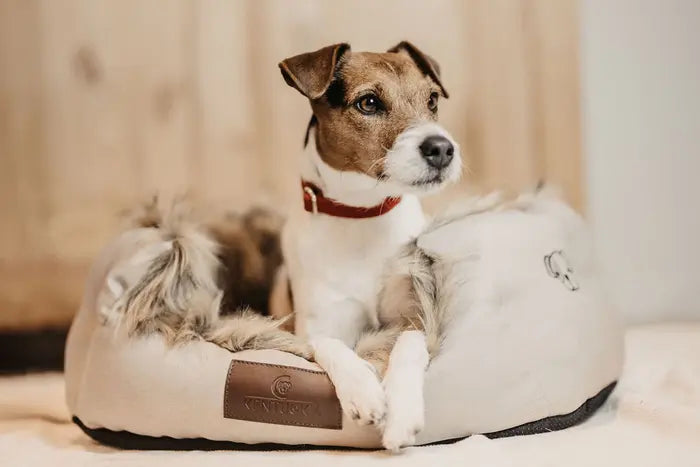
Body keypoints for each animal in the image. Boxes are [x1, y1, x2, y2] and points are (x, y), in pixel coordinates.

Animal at [278, 42, 464, 452]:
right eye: (368, 102)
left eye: (432, 100)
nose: (442, 148)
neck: (362, 213)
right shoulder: (312, 328)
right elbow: (331, 346)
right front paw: (363, 391)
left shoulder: (415, 314)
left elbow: (408, 345)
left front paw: (401, 414)